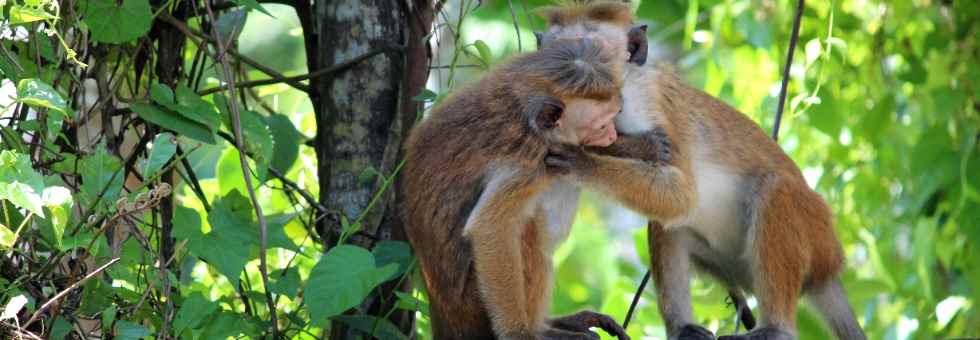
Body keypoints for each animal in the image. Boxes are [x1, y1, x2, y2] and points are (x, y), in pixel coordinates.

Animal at [394, 39, 656, 338]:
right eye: (601, 125)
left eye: (615, 116)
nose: (612, 134)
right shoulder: (531, 162)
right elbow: (490, 228)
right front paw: (520, 333)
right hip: (474, 305)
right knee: (528, 231)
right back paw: (541, 330)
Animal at [536, 2, 864, 340]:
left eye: (592, 50)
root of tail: (831, 268)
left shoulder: (647, 104)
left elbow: (680, 194)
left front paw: (585, 160)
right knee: (667, 224)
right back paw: (683, 328)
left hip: (816, 234)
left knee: (775, 189)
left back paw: (776, 329)